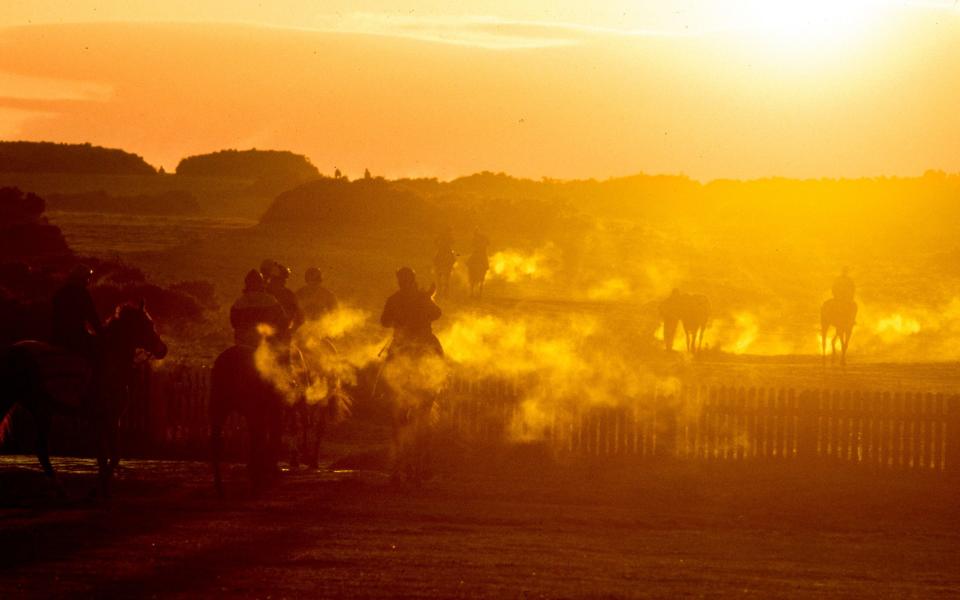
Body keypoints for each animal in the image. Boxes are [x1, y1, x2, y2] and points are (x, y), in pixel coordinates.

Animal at [0, 300, 168, 496]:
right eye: (148, 324)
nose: (163, 350)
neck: (112, 364)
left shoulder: (107, 420)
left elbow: (109, 456)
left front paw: (104, 490)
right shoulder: (102, 419)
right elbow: (108, 456)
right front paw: (97, 489)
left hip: (42, 411)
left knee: (41, 450)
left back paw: (60, 488)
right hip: (29, 407)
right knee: (41, 449)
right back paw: (61, 488)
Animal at [210, 344, 284, 494]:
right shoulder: (262, 409)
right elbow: (265, 437)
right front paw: (261, 477)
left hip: (219, 401)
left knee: (215, 439)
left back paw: (220, 487)